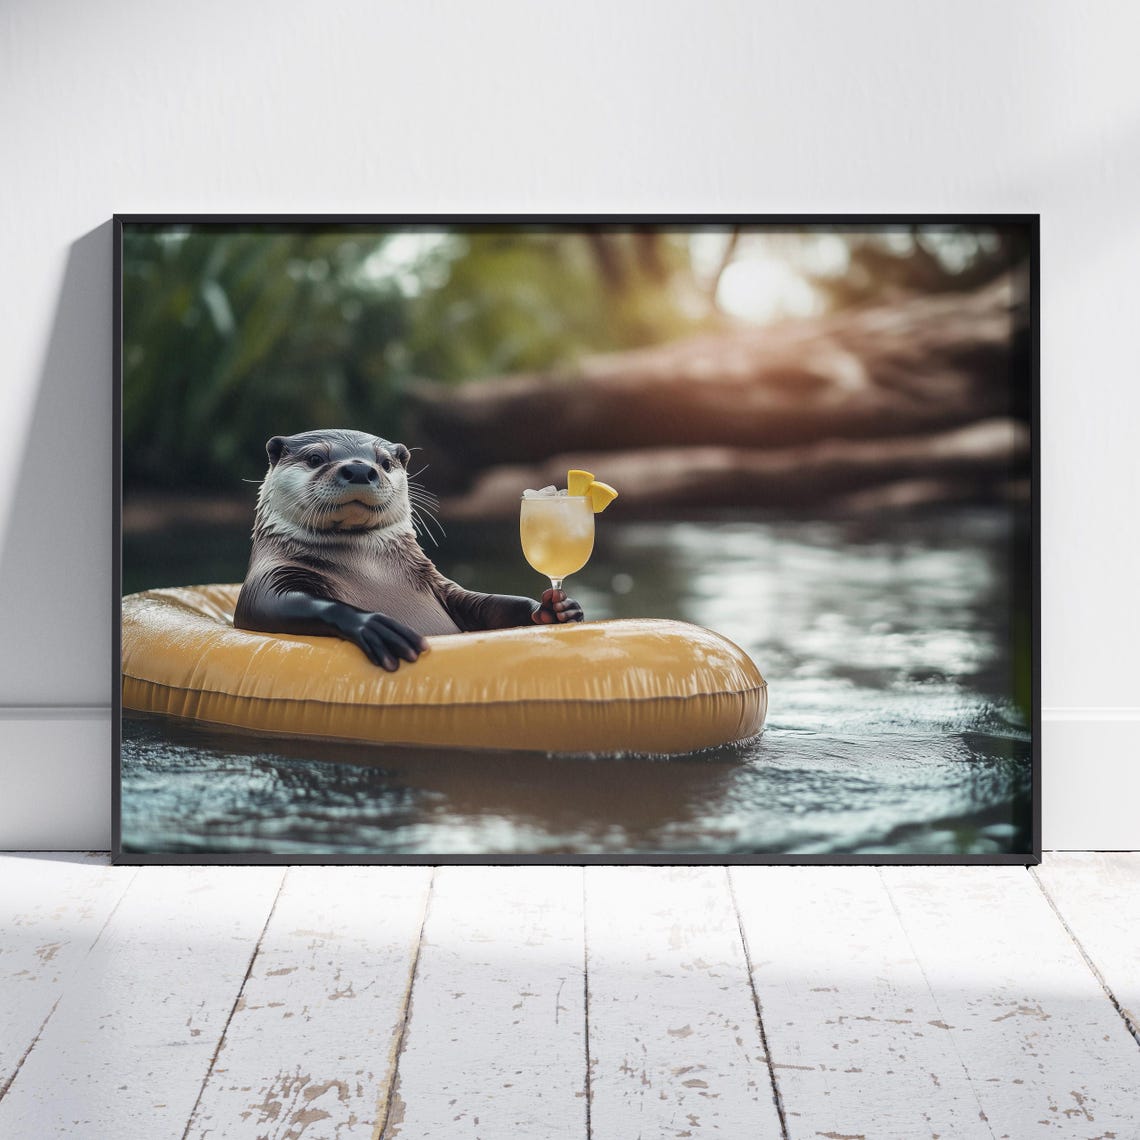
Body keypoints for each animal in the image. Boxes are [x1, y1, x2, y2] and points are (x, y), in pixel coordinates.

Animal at [234, 429, 583, 670]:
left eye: (385, 462)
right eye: (316, 458)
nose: (359, 469)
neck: (372, 574)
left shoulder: (441, 586)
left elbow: (486, 604)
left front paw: (553, 609)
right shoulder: (268, 580)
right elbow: (272, 605)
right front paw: (376, 625)